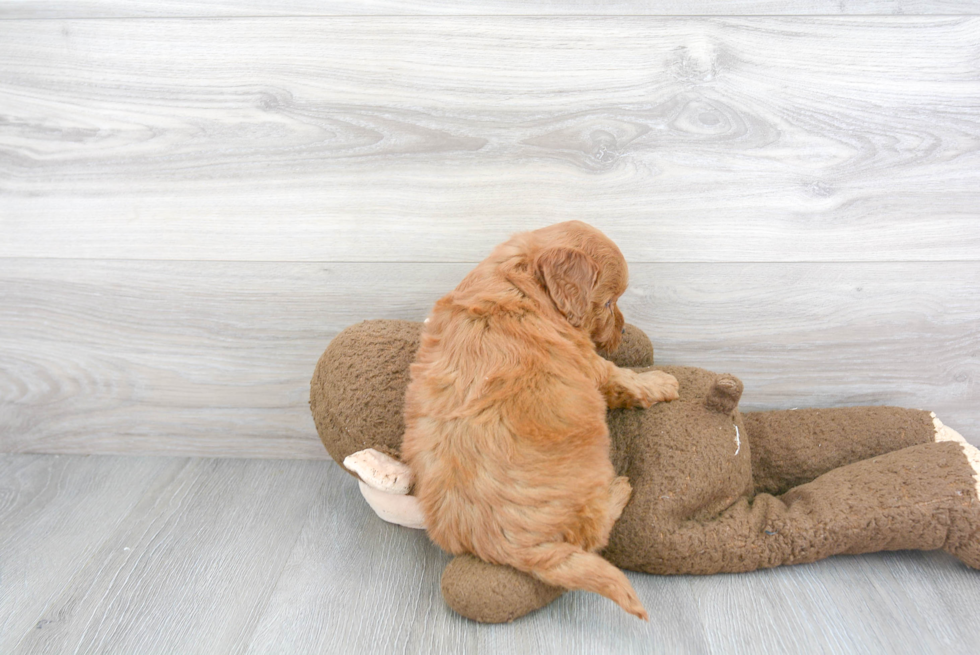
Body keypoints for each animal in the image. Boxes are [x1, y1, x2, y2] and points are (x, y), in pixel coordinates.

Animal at [398, 220, 672, 620]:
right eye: (608, 302)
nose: (622, 330)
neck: (521, 280)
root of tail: (513, 548)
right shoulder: (589, 362)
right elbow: (621, 377)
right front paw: (662, 383)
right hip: (591, 476)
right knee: (594, 534)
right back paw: (620, 490)